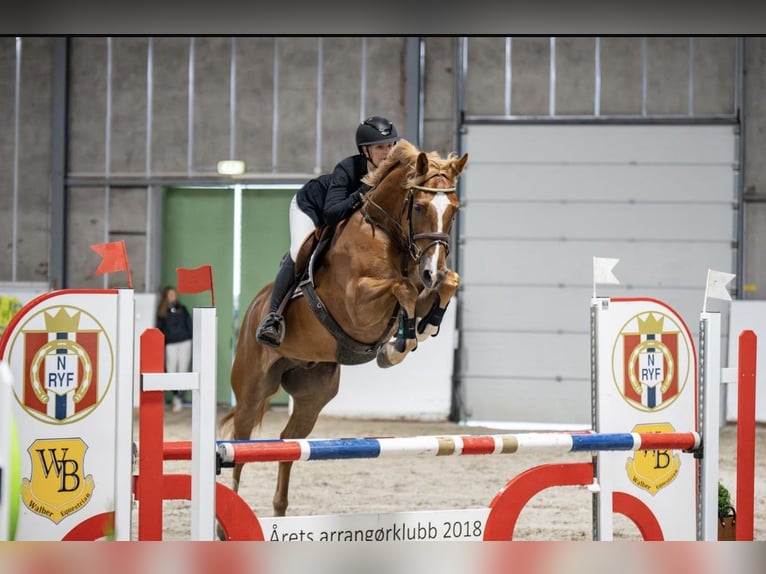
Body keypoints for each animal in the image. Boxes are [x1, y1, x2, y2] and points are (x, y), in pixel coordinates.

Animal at [218, 139, 468, 524]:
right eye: (420, 206)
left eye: (453, 210)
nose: (432, 270)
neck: (386, 231)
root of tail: (252, 312)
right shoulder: (357, 306)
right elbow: (402, 289)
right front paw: (397, 346)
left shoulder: (422, 285)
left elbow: (445, 285)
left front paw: (421, 328)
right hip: (252, 389)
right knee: (240, 443)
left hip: (313, 394)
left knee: (289, 441)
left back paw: (279, 511)